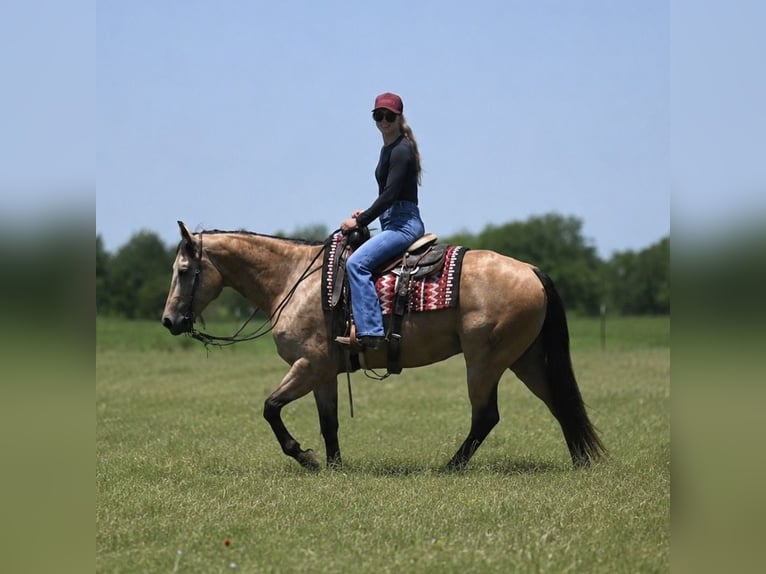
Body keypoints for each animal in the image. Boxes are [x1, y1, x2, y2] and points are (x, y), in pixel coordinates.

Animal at [161, 221, 605, 471]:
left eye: (183, 270)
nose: (169, 321)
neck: (294, 280)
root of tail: (530, 269)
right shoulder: (323, 373)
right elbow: (328, 423)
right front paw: (335, 466)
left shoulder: (308, 364)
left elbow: (270, 408)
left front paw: (304, 456)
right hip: (525, 359)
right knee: (559, 403)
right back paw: (580, 462)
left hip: (485, 361)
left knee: (486, 416)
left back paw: (450, 466)